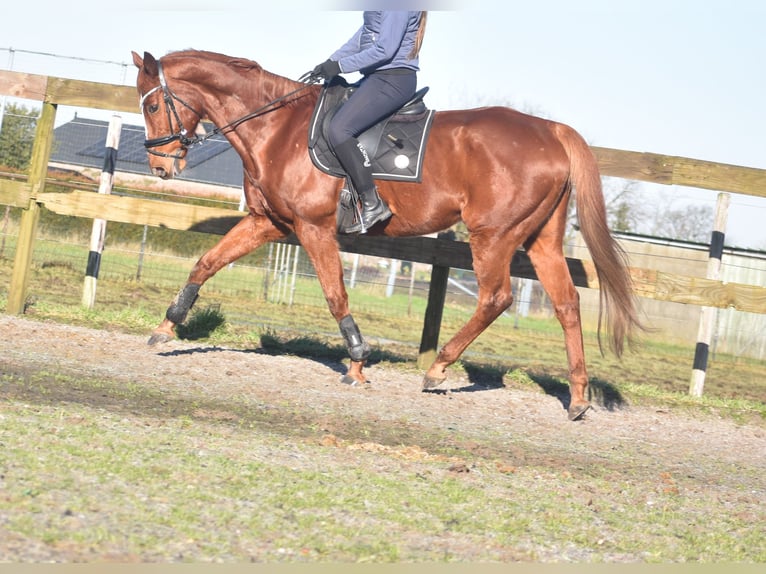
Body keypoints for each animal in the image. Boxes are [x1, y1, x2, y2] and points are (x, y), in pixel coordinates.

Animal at [132, 49, 640, 420]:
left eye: (153, 104)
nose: (160, 167)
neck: (275, 127)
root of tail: (552, 131)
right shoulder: (267, 222)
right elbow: (207, 262)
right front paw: (166, 326)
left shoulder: (313, 228)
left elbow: (335, 293)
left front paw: (357, 362)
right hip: (541, 241)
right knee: (566, 304)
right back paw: (578, 398)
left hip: (493, 235)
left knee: (496, 298)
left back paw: (437, 369)